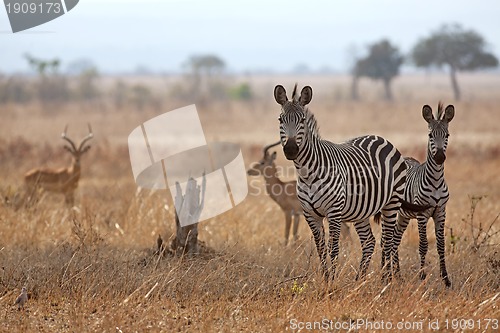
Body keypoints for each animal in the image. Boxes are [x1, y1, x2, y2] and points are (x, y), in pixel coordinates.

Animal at [274, 84, 410, 278]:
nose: (291, 149)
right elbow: (321, 249)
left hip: (392, 202)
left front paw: (332, 281)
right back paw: (359, 280)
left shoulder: (334, 211)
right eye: (280, 119)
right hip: (362, 210)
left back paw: (386, 279)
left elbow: (334, 249)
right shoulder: (310, 214)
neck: (307, 173)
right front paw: (325, 279)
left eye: (302, 120)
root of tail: (381, 138)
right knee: (369, 242)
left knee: (388, 241)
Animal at [392, 102, 456, 286]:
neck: (435, 180)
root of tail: (405, 157)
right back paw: (393, 273)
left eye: (447, 135)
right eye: (430, 135)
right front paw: (421, 276)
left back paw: (398, 274)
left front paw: (446, 279)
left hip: (404, 215)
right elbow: (423, 244)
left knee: (395, 239)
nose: (440, 157)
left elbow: (441, 244)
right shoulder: (422, 214)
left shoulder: (441, 212)